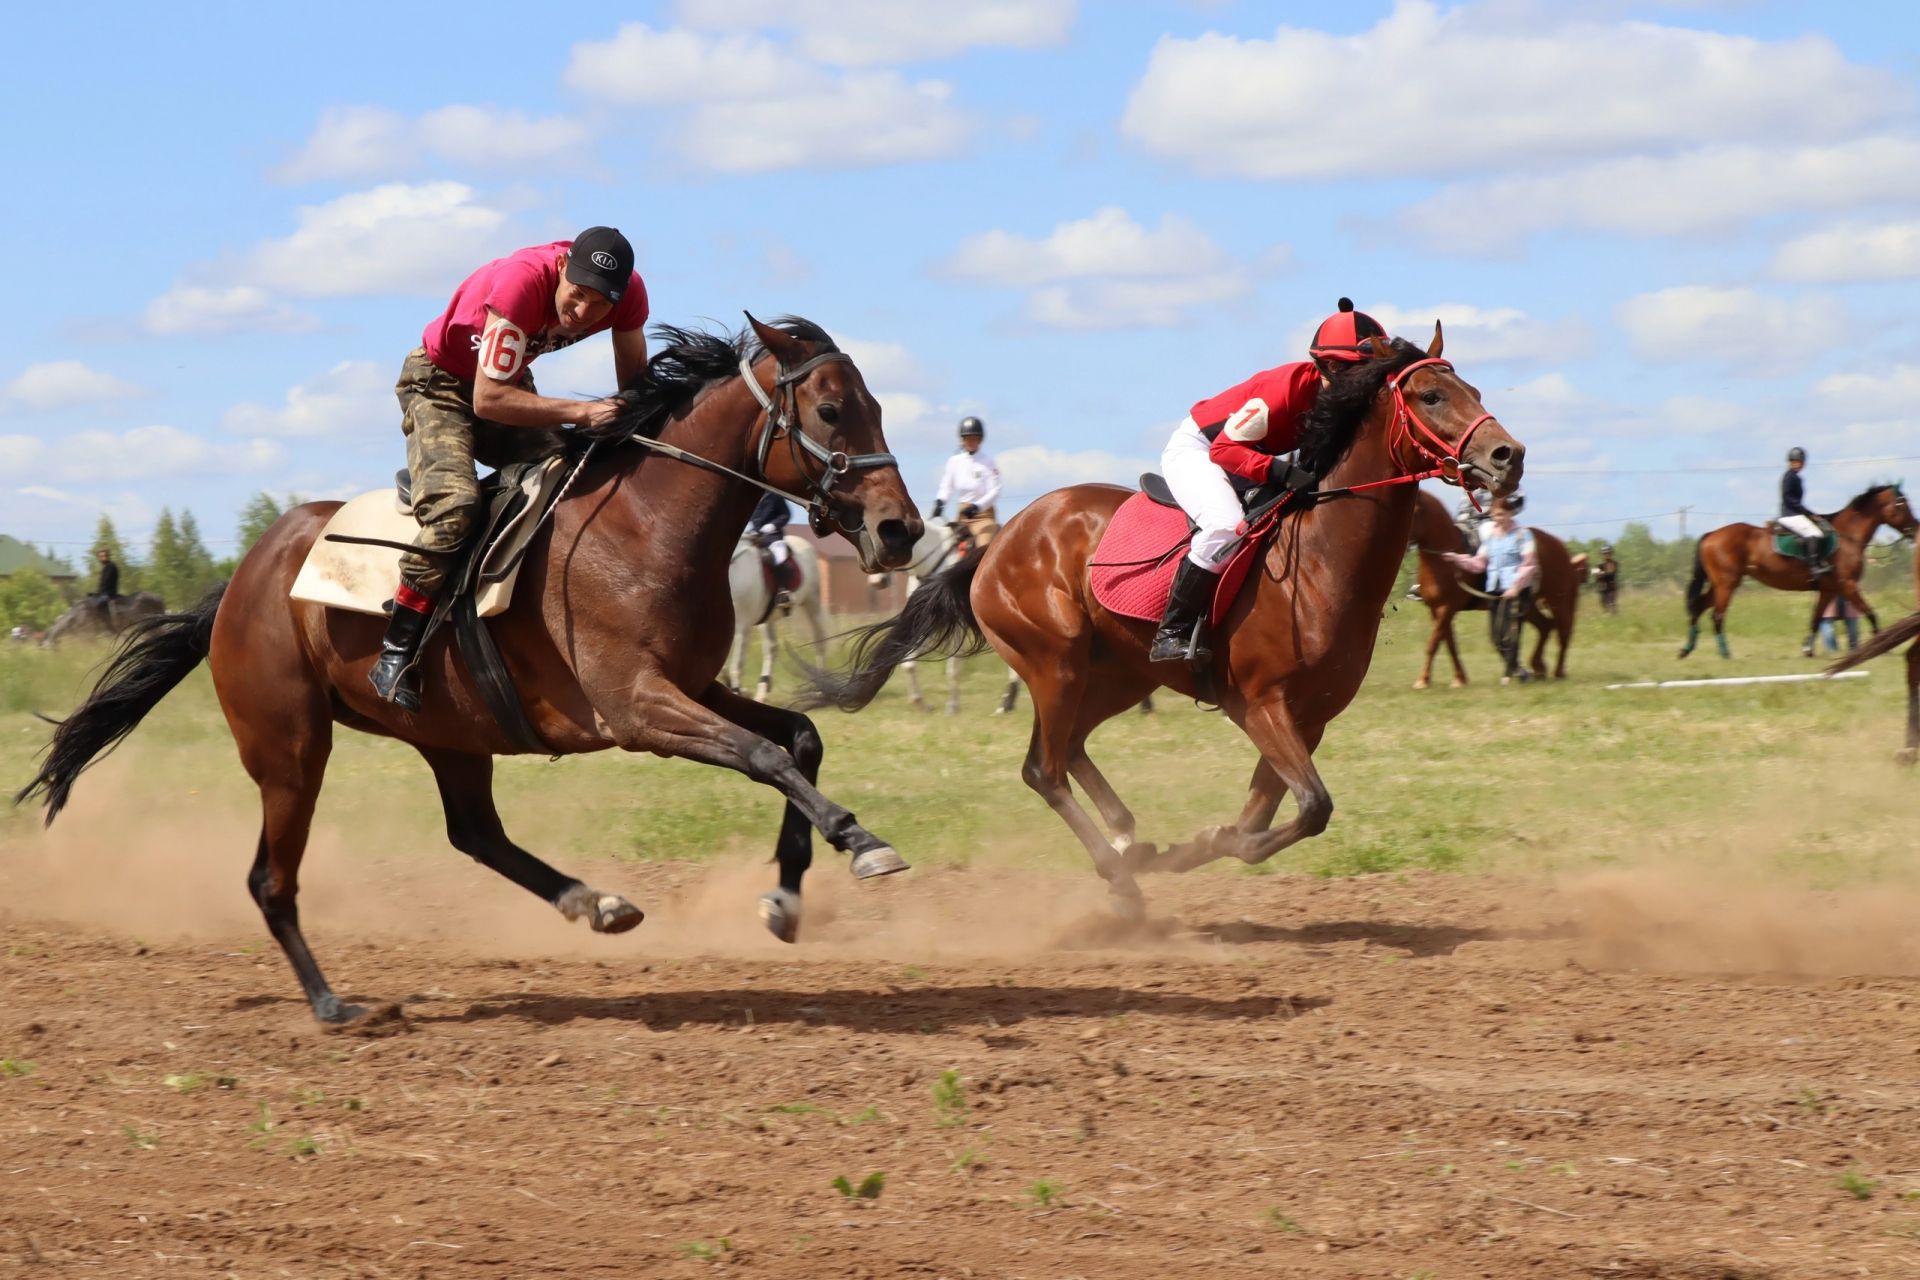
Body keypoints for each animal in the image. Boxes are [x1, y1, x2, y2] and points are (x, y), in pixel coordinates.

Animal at [725, 537, 825, 706]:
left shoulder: (741, 626)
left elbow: (737, 665)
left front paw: (737, 690)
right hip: (767, 618)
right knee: (771, 647)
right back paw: (762, 691)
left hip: (812, 603)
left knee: (819, 642)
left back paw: (821, 688)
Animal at [802, 326, 1520, 917]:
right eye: (1430, 394)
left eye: (1474, 388)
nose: (1508, 455)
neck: (1323, 560)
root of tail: (996, 543)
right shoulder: (1260, 704)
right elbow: (1309, 808)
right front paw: (1197, 845)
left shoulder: (1307, 718)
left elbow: (1268, 818)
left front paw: (1194, 845)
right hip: (1055, 663)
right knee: (1044, 769)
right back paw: (1121, 874)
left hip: (1120, 674)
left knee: (1071, 748)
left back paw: (1128, 839)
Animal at [1405, 491, 1582, 690]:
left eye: (1413, 512)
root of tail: (1558, 545)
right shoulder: (1436, 610)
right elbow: (1449, 643)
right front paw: (1459, 678)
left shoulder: (1447, 608)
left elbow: (1434, 642)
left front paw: (1422, 680)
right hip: (1528, 607)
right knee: (1546, 626)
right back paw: (1537, 668)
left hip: (1557, 600)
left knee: (1563, 631)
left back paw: (1558, 672)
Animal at [1674, 483, 1912, 660]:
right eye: (1901, 505)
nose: (1915, 529)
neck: (1847, 537)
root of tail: (1711, 534)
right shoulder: (1848, 585)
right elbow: (1871, 613)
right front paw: (1883, 645)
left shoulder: (1829, 589)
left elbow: (1816, 619)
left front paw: (1807, 650)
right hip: (1727, 583)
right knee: (1717, 615)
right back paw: (1725, 653)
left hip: (1721, 584)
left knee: (1699, 607)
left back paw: (1686, 649)